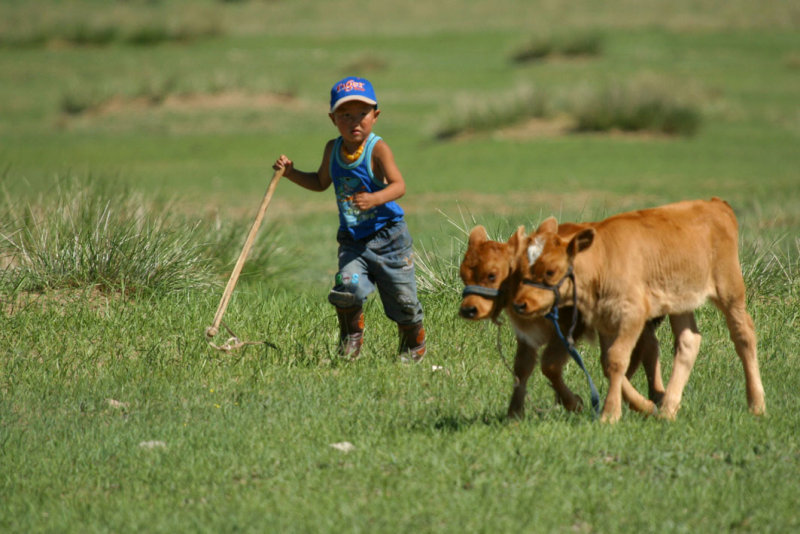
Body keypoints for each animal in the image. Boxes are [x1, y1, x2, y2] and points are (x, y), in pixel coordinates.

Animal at [460, 224, 664, 420]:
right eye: (463, 275)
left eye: (492, 275)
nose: (468, 309)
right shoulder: (526, 336)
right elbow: (522, 368)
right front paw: (514, 414)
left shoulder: (569, 328)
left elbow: (549, 365)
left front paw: (574, 403)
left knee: (645, 348)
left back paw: (655, 398)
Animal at [510, 199, 764, 426]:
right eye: (521, 268)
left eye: (550, 271)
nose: (521, 303)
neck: (602, 259)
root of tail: (715, 203)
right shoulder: (605, 320)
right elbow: (607, 362)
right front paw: (642, 406)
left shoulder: (632, 314)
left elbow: (615, 360)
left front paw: (610, 414)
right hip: (680, 301)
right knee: (688, 340)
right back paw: (668, 409)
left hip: (730, 292)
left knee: (744, 336)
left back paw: (757, 405)